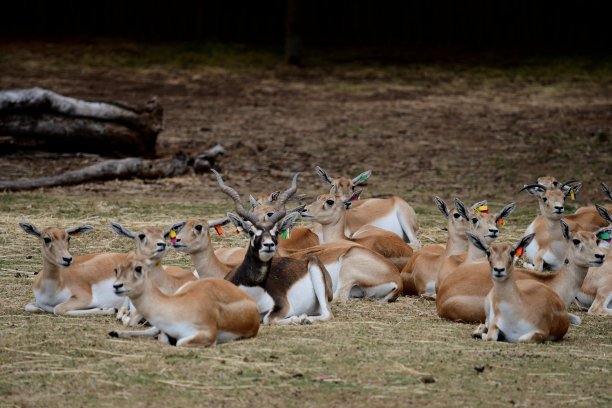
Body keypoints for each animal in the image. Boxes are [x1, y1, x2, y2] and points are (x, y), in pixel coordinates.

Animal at [107, 253, 258, 346]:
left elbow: (178, 342)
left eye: (138, 268)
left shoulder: (208, 334)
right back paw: (115, 332)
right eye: (116, 269)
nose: (117, 286)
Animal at [212, 171, 334, 324]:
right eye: (251, 231)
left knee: (327, 313)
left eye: (275, 231)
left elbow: (268, 319)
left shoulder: (284, 306)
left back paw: (305, 318)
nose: (268, 245)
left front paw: (297, 318)